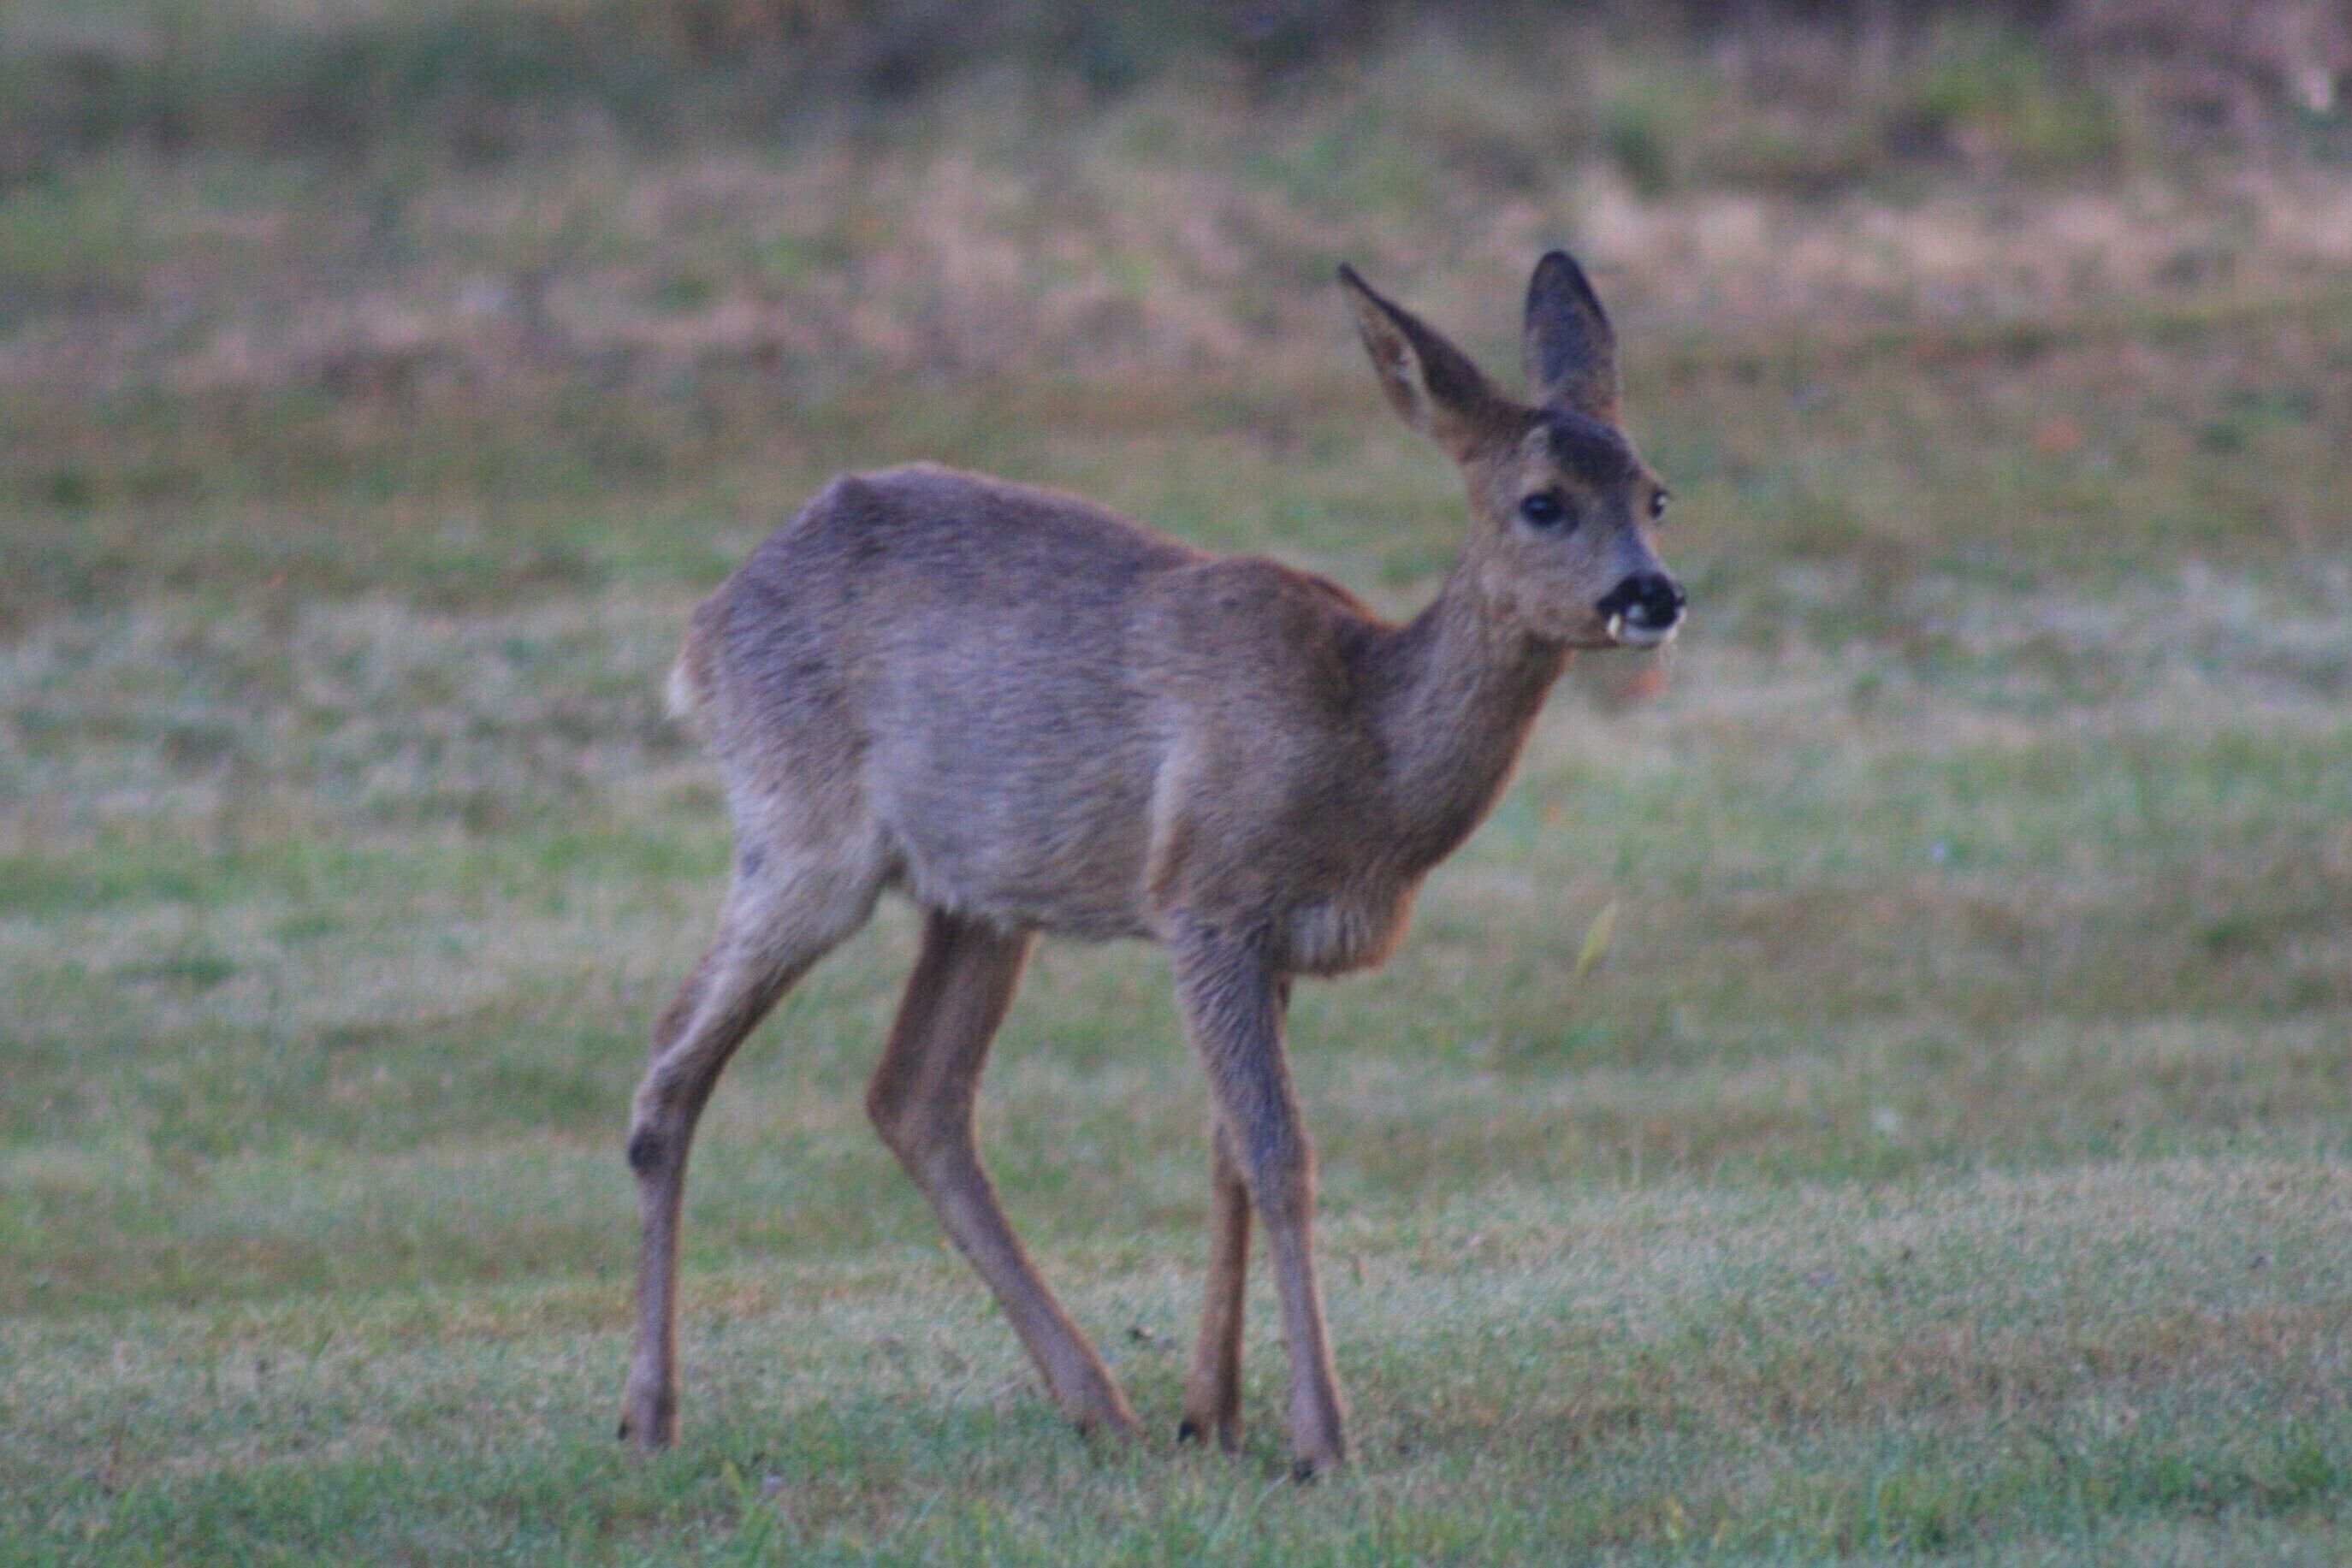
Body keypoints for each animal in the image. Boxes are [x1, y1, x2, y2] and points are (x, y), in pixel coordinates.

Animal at [618, 251, 1684, 1478]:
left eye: (1656, 493)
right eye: (1541, 500)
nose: (1652, 593)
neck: (1365, 744)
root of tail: (702, 633)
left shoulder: (1272, 938)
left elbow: (1227, 1155)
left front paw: (1212, 1412)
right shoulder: (1206, 899)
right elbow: (1278, 1154)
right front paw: (1320, 1438)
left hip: (980, 893)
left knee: (914, 1094)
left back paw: (1099, 1403)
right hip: (804, 834)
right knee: (673, 1062)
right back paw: (649, 1414)